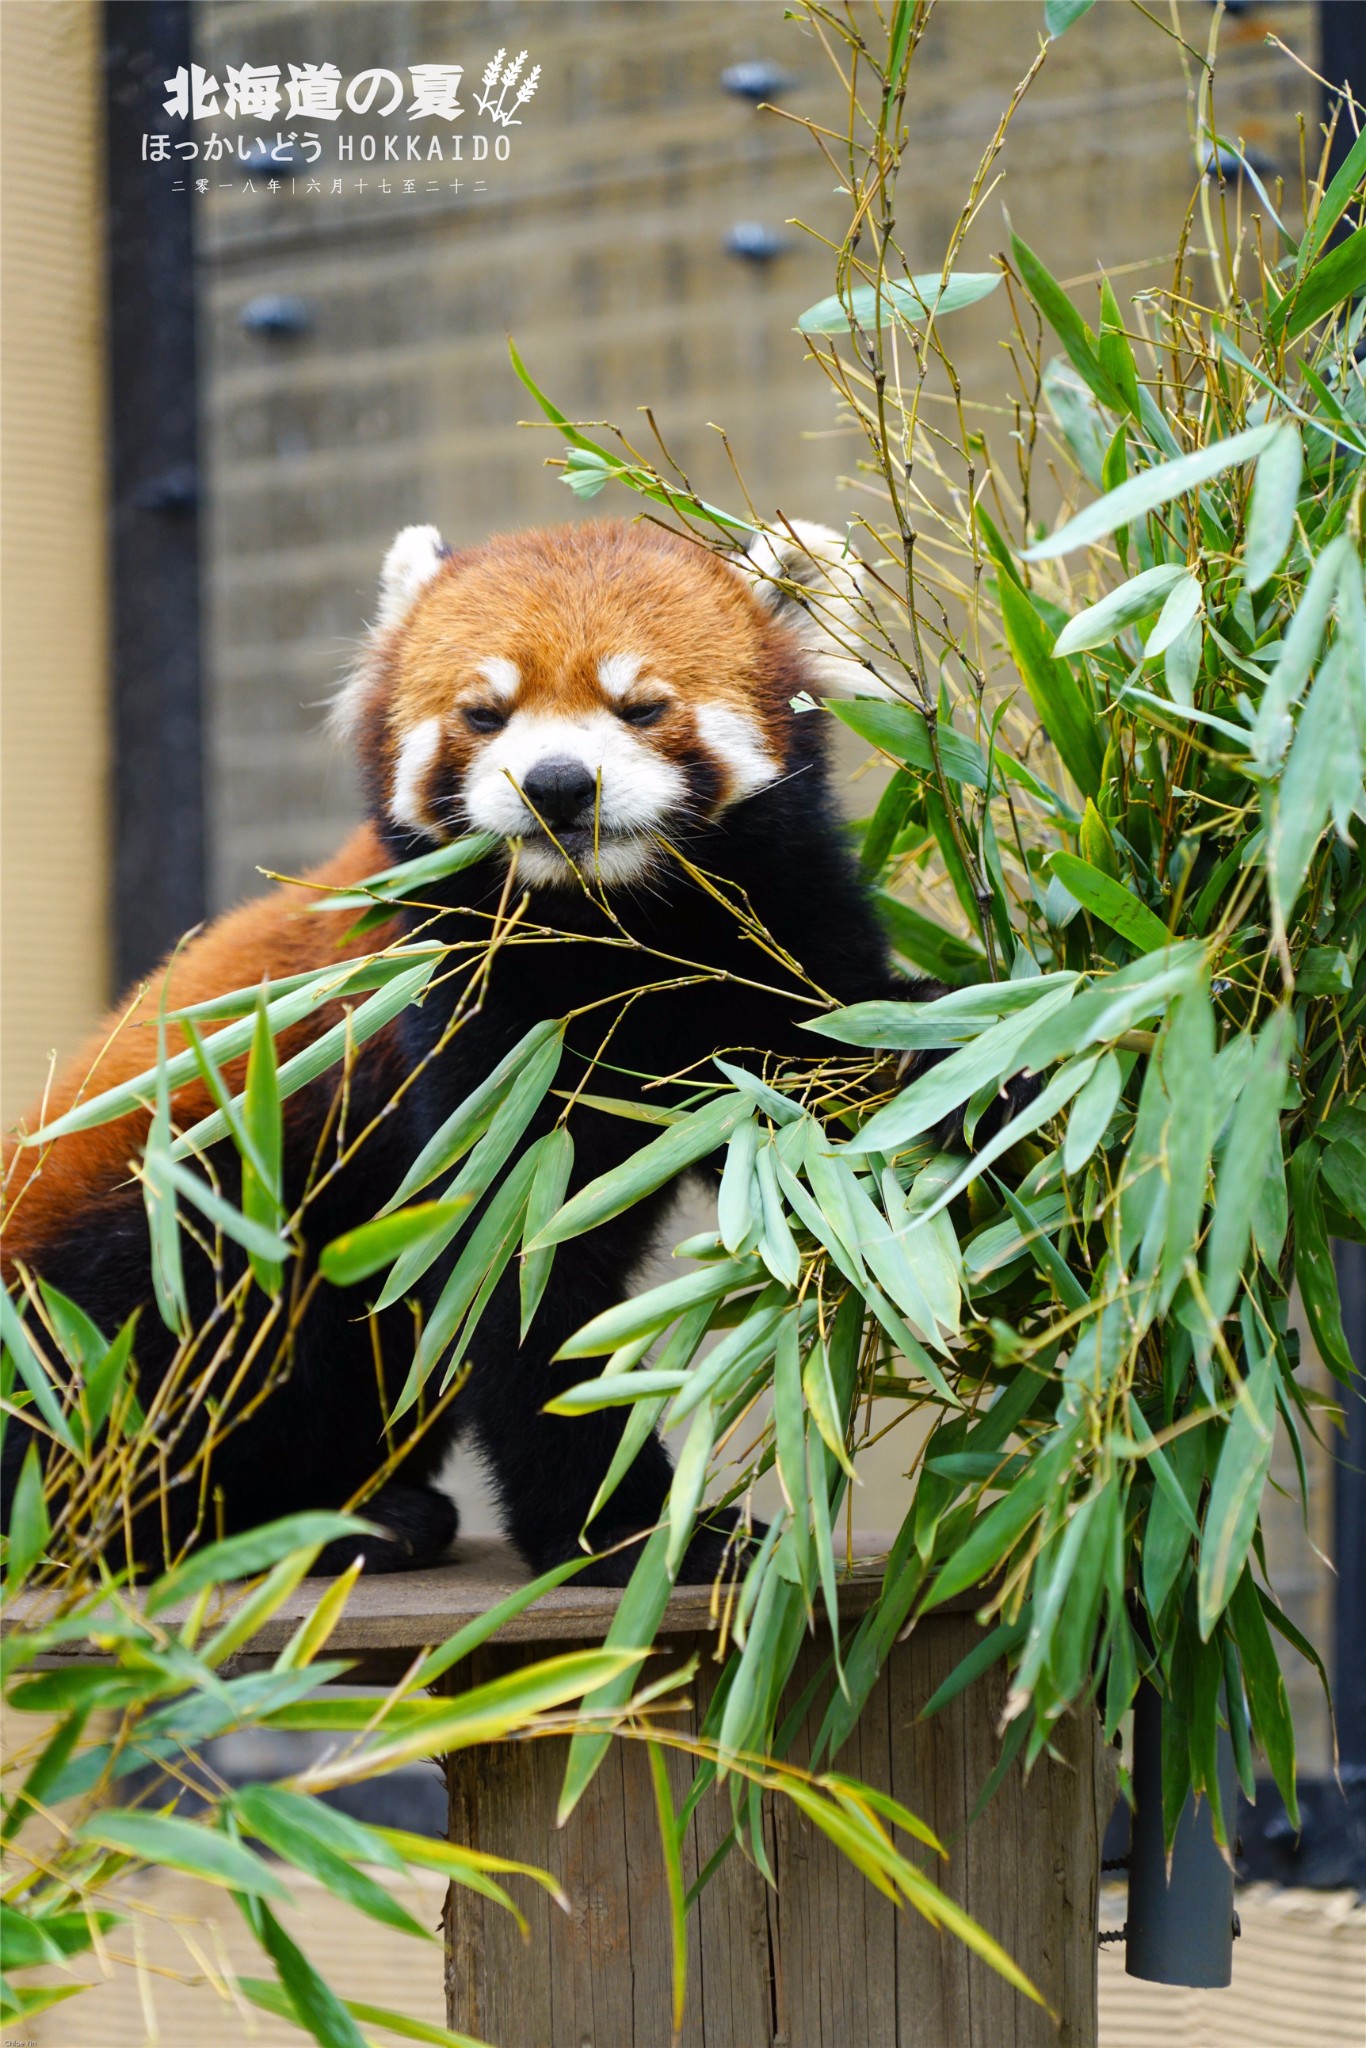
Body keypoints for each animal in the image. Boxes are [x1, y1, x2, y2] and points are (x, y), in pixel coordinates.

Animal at [5, 512, 913, 1581]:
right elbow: (513, 1270)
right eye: (485, 715)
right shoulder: (459, 1022)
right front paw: (628, 1530)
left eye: (642, 706)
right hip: (154, 1234)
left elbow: (853, 1059)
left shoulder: (779, 937)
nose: (557, 784)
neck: (608, 932)